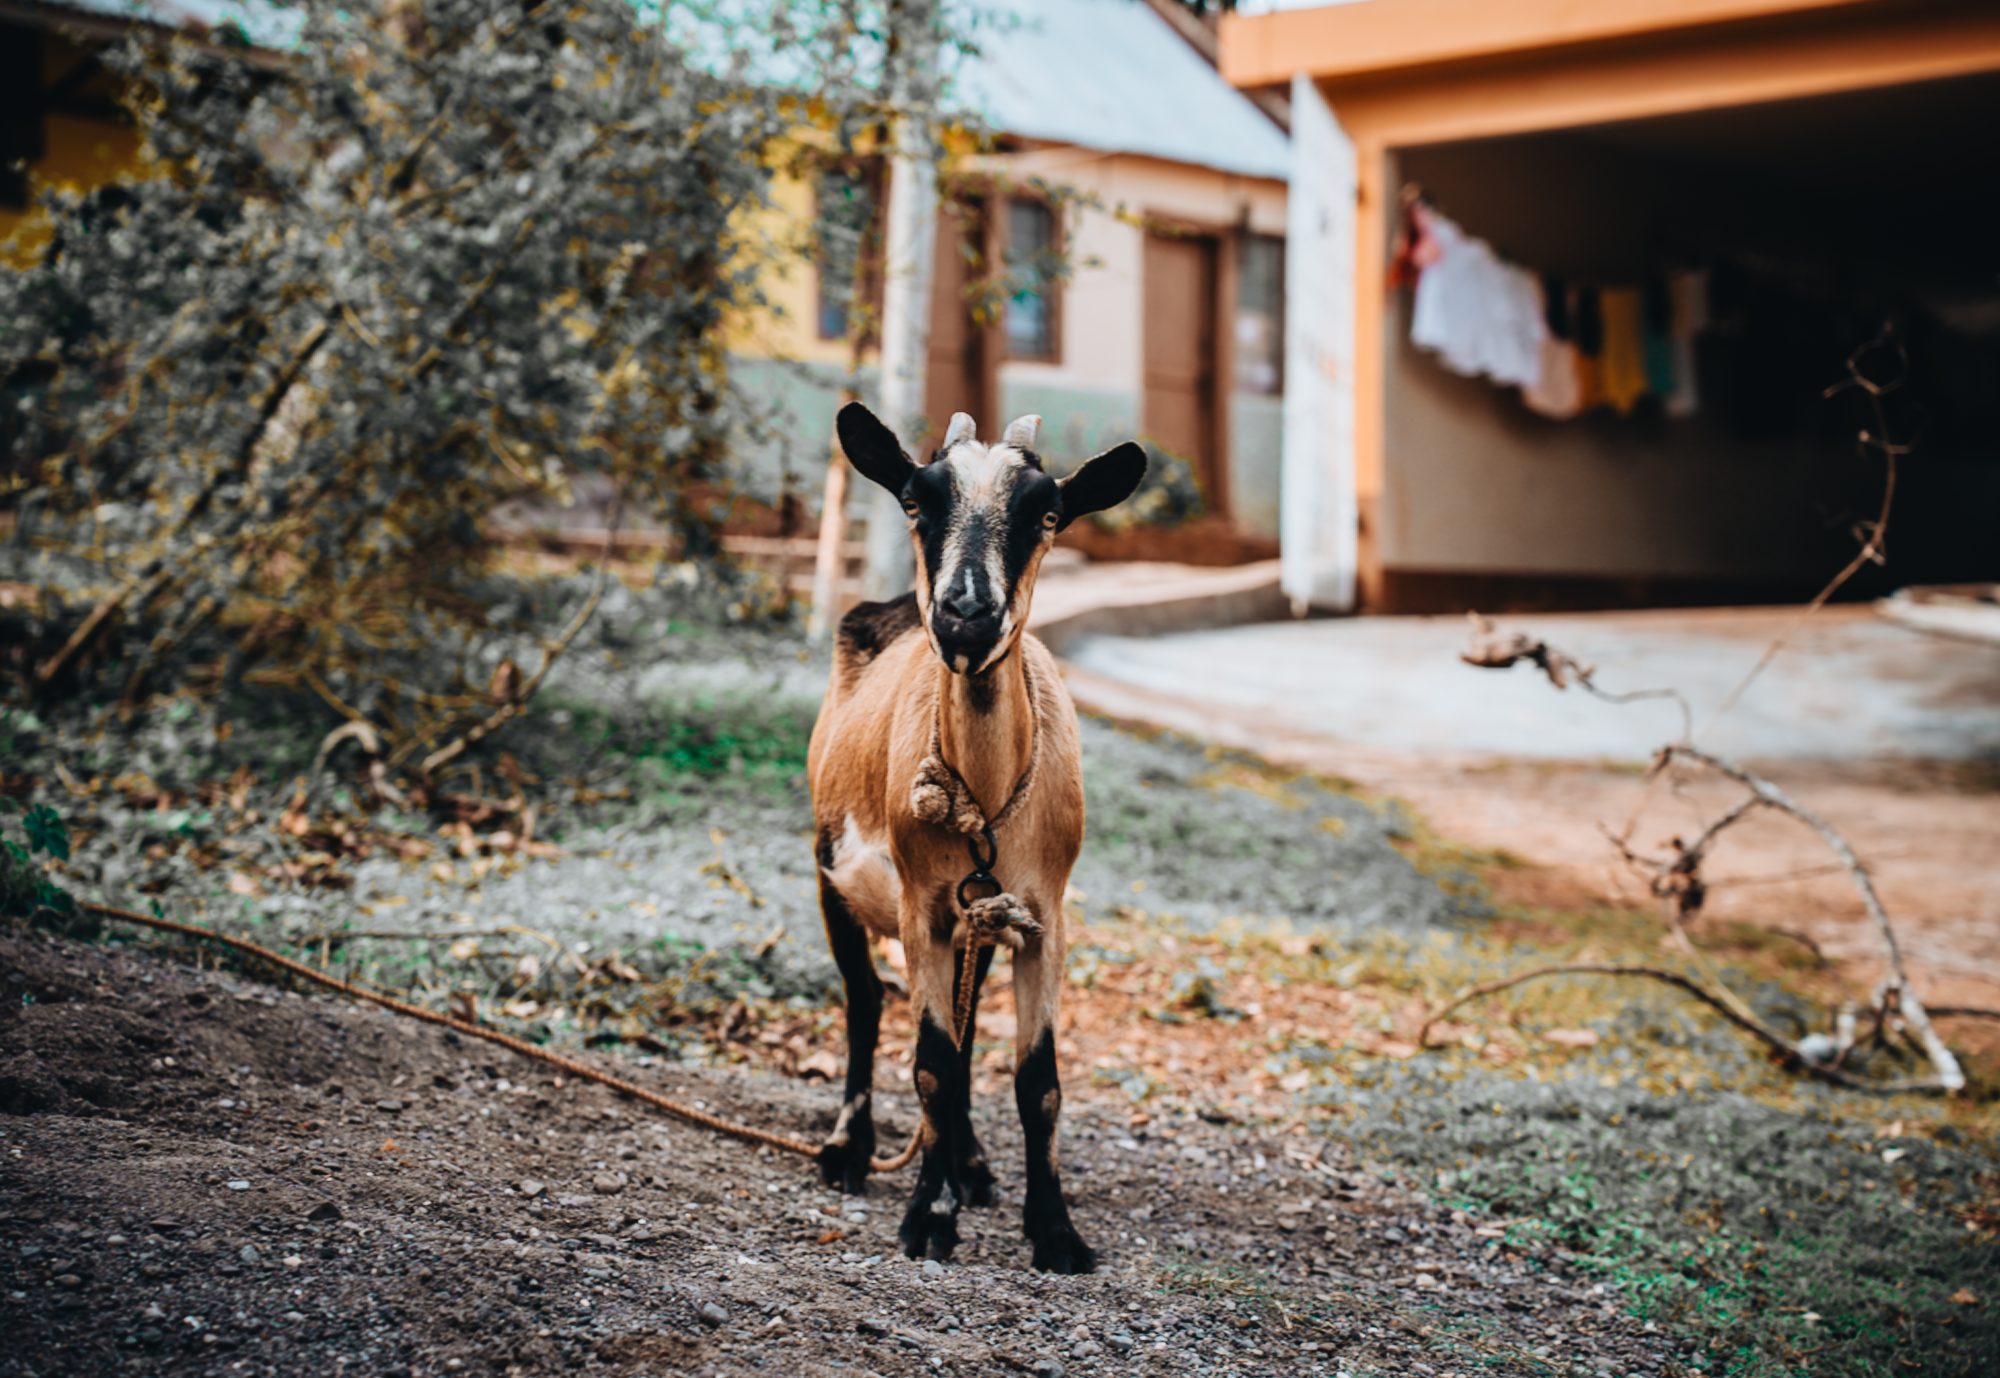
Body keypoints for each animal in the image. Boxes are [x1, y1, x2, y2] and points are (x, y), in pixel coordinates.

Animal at [807, 403, 1146, 1272]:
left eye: (1048, 513)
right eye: (915, 501)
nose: (965, 613)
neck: (987, 801)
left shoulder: (1040, 912)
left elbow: (1037, 1079)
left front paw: (1054, 1229)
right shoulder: (923, 905)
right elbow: (931, 1064)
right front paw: (929, 1218)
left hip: (982, 920)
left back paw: (973, 1165)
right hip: (830, 876)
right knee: (865, 1001)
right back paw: (849, 1150)